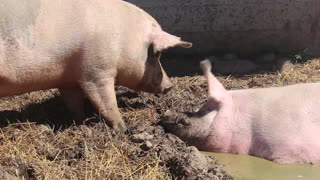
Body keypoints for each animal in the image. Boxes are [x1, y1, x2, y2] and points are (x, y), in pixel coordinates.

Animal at [0, 0, 191, 132]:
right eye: (156, 54)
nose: (169, 86)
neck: (124, 39)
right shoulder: (97, 71)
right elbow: (107, 102)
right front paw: (122, 128)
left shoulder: (68, 79)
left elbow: (74, 103)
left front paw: (79, 122)